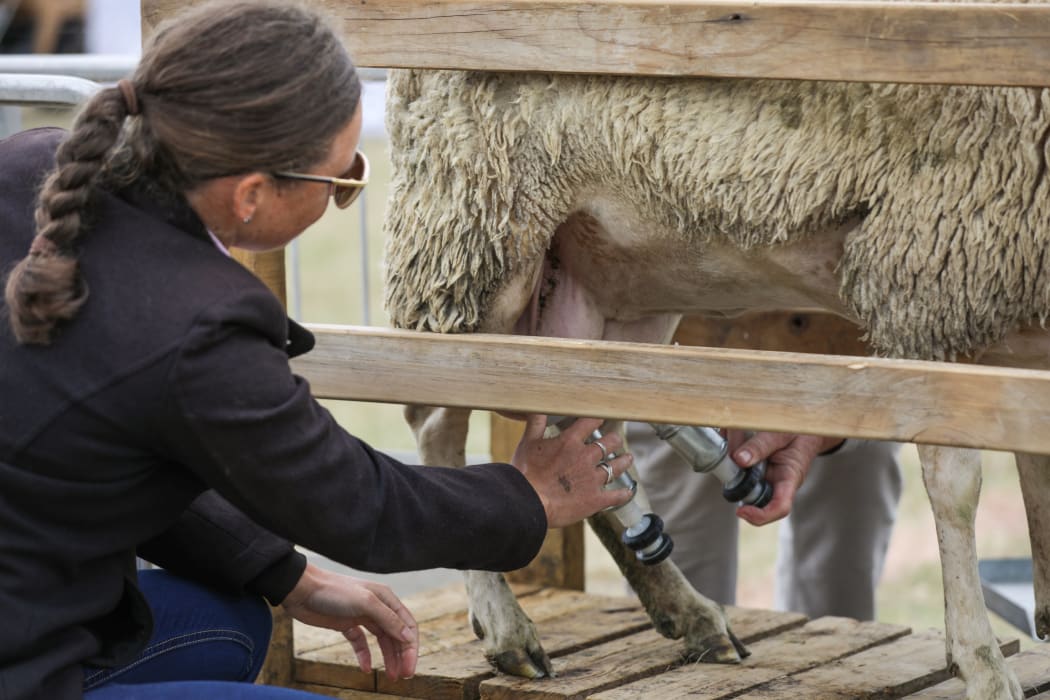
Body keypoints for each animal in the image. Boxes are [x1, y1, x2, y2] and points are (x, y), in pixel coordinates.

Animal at [381, 67, 1050, 700]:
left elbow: (1036, 474)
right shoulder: (928, 279)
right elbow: (957, 491)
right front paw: (981, 665)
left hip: (611, 276)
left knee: (594, 430)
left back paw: (689, 612)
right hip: (475, 228)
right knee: (435, 417)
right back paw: (506, 627)